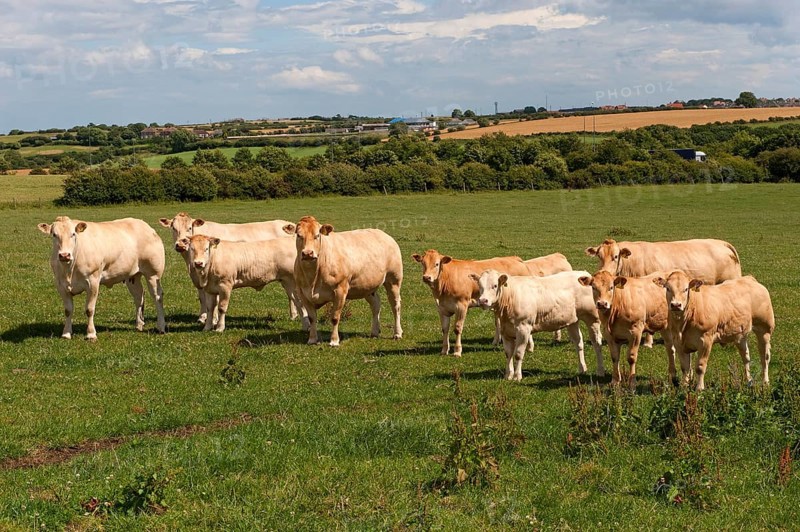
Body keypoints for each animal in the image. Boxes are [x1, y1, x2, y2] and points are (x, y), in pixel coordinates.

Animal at [38, 216, 166, 340]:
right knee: (139, 297)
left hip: (153, 274)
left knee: (157, 297)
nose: (64, 255)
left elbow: (89, 309)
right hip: (132, 276)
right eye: (54, 234)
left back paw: (161, 326)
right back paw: (139, 324)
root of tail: (146, 226)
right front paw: (66, 333)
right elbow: (68, 310)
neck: (69, 270)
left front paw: (91, 334)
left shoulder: (93, 282)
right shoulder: (61, 285)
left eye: (73, 234)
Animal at [158, 212, 297, 324]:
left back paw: (294, 315)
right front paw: (202, 318)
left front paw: (214, 319)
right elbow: (203, 298)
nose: (180, 244)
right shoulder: (198, 278)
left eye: (190, 227)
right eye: (173, 228)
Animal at [283, 216, 403, 346]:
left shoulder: (340, 290)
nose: (307, 253)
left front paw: (334, 341)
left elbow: (335, 318)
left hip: (393, 280)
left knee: (395, 306)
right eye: (299, 235)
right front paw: (312, 339)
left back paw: (397, 333)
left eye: (317, 235)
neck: (313, 277)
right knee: (376, 304)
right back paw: (375, 331)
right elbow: (312, 318)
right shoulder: (302, 293)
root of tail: (383, 234)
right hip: (367, 286)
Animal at [472, 270, 604, 381]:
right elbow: (508, 353)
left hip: (592, 318)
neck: (510, 296)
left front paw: (517, 376)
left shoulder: (523, 328)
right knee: (579, 343)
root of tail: (584, 273)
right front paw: (508, 375)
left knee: (596, 343)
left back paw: (600, 371)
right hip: (572, 320)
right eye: (480, 286)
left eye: (495, 286)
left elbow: (518, 354)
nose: (483, 301)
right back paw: (582, 368)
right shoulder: (505, 331)